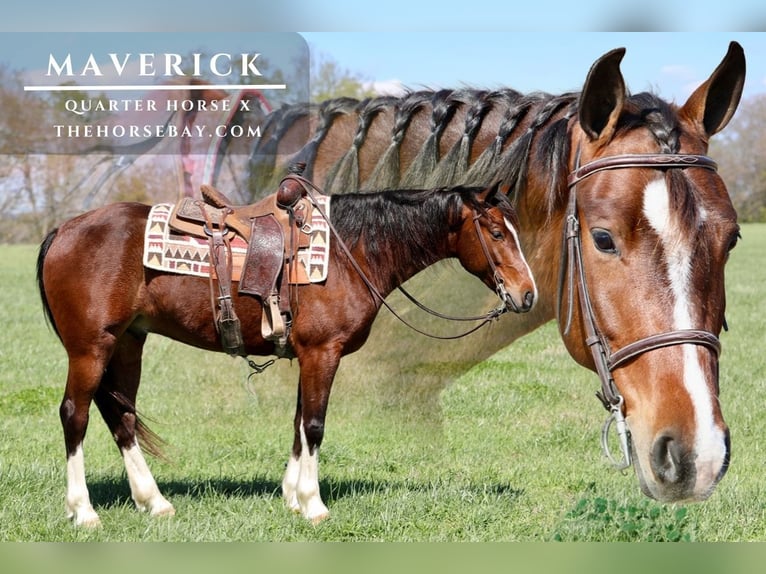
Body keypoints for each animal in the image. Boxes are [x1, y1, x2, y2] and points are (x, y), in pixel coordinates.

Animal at [37, 182, 537, 526]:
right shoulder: (323, 352)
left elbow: (298, 423)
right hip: (90, 347)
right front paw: (314, 504)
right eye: (496, 232)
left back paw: (154, 501)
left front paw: (292, 496)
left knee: (120, 416)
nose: (527, 294)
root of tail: (64, 229)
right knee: (75, 415)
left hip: (127, 343)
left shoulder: (307, 354)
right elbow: (314, 425)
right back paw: (83, 511)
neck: (350, 253)